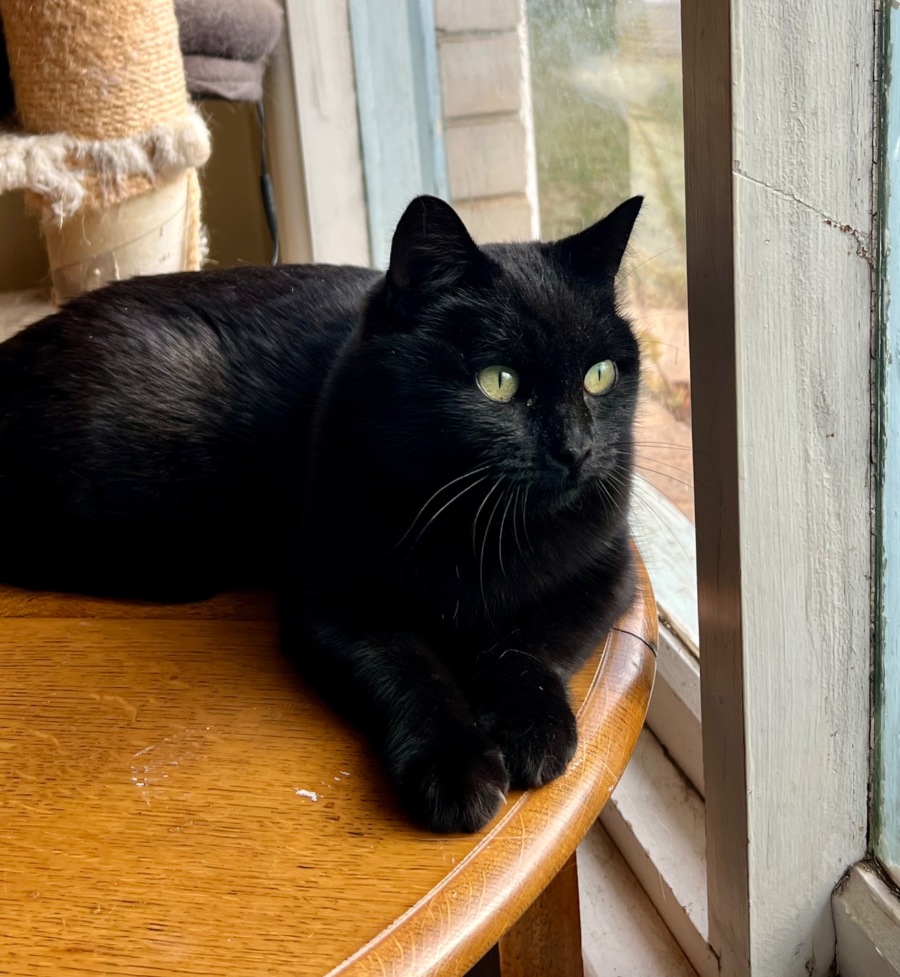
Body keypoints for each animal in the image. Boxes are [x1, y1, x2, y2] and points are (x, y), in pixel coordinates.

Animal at [0, 194, 643, 832]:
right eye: (499, 383)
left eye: (600, 376)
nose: (577, 450)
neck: (477, 526)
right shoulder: (331, 604)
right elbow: (409, 671)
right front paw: (455, 767)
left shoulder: (604, 573)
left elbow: (526, 646)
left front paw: (532, 732)